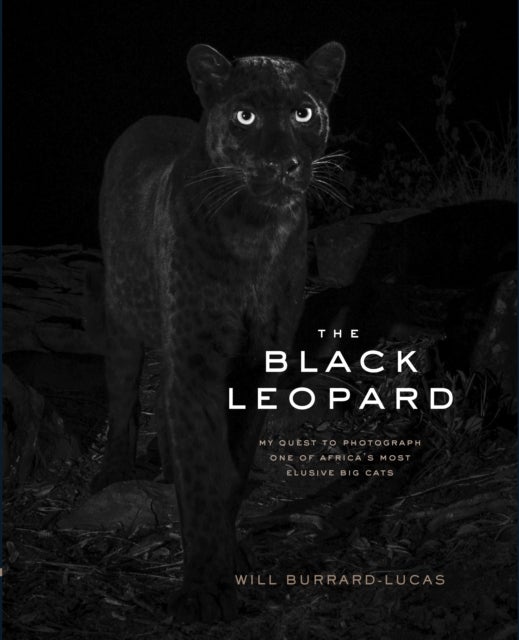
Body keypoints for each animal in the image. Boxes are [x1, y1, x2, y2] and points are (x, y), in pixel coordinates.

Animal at [93, 41, 346, 623]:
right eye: (245, 115)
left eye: (303, 112)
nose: (279, 164)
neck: (254, 230)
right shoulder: (196, 358)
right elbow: (206, 469)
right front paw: (203, 592)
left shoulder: (257, 363)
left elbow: (231, 466)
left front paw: (232, 556)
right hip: (123, 317)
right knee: (123, 395)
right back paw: (116, 471)